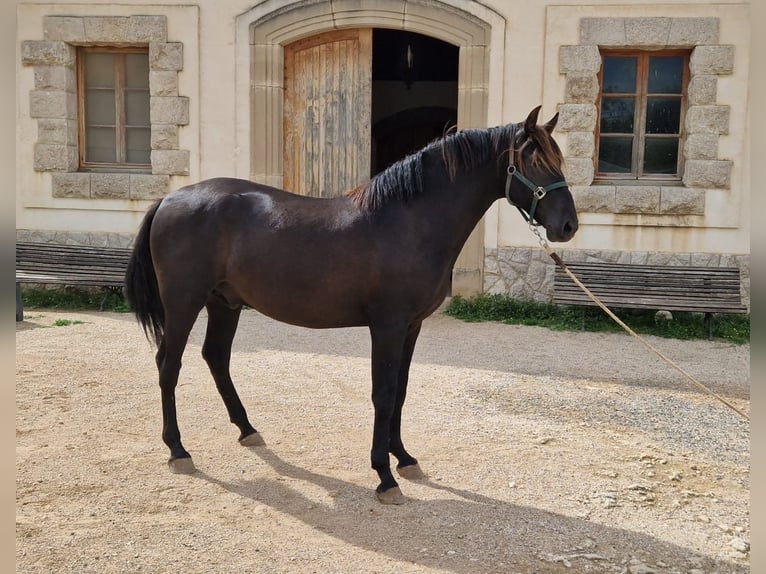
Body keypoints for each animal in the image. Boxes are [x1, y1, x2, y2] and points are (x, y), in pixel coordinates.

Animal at [126, 107, 580, 504]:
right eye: (534, 160)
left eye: (558, 158)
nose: (568, 226)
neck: (410, 222)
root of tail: (169, 200)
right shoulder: (387, 326)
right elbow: (383, 393)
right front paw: (384, 475)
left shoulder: (412, 326)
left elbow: (400, 390)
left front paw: (404, 459)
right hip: (183, 303)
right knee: (169, 364)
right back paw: (178, 450)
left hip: (224, 303)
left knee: (216, 357)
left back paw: (247, 429)